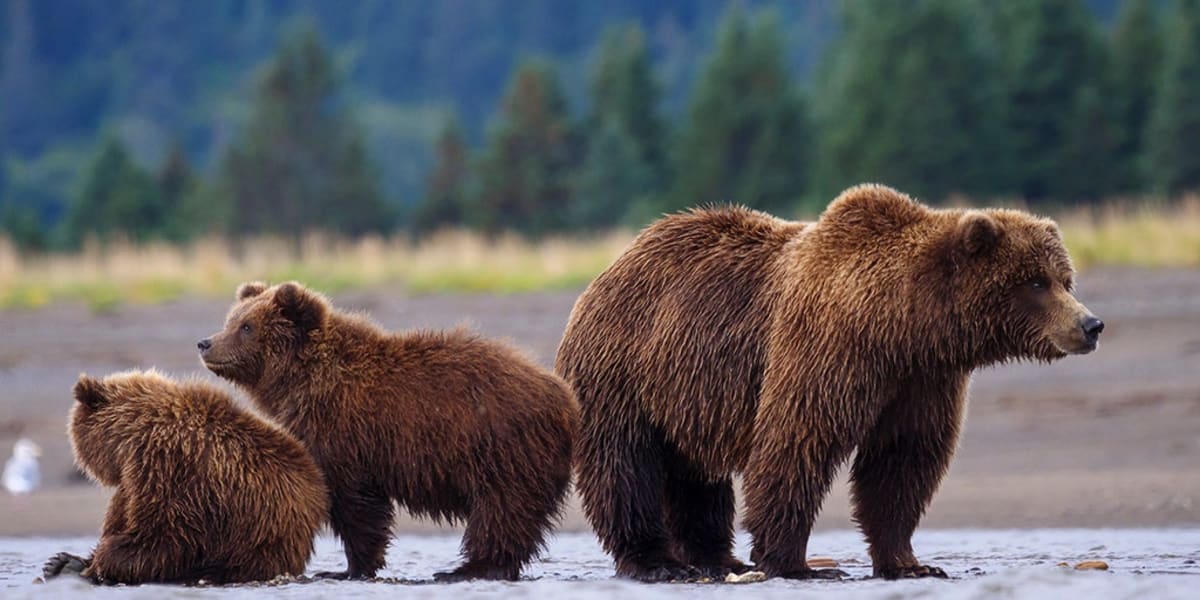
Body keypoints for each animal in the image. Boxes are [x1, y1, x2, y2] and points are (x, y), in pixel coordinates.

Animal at [43, 370, 328, 585]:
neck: (132, 435)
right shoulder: (134, 479)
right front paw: (62, 562)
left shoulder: (167, 465)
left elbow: (166, 537)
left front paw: (95, 564)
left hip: (256, 541)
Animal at [199, 281, 577, 582]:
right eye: (231, 320)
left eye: (247, 326)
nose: (206, 343)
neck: (302, 383)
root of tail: (563, 397)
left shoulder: (344, 434)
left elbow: (355, 505)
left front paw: (347, 568)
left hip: (501, 446)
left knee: (501, 511)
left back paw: (466, 569)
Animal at [555, 184, 1104, 582]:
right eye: (1035, 282)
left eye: (1065, 278)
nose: (1091, 324)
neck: (904, 326)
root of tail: (611, 266)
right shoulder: (828, 350)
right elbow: (797, 442)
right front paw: (796, 564)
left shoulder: (922, 382)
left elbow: (902, 464)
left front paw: (911, 563)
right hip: (623, 372)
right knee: (626, 467)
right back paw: (658, 562)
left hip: (685, 394)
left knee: (696, 476)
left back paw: (717, 558)